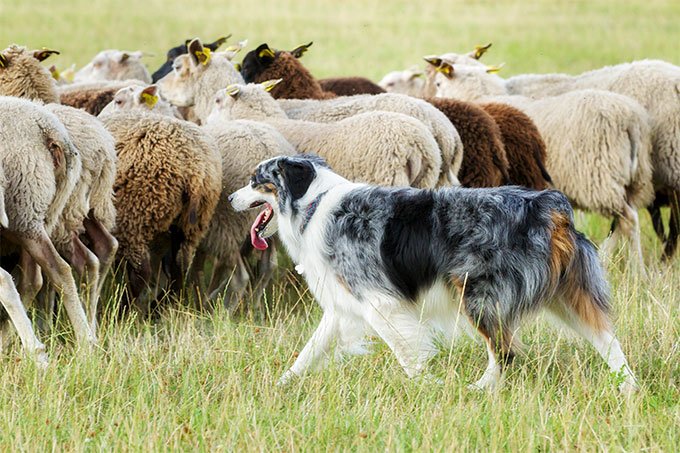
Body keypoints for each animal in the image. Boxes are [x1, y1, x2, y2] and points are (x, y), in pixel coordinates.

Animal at [98, 110, 222, 307]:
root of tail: (195, 168)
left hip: (134, 216)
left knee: (141, 271)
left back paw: (126, 308)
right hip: (191, 225)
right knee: (179, 267)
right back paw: (161, 306)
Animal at [426, 62, 655, 271]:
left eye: (438, 83)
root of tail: (632, 121)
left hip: (598, 177)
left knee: (629, 219)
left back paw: (638, 270)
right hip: (633, 180)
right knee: (623, 220)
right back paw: (606, 260)